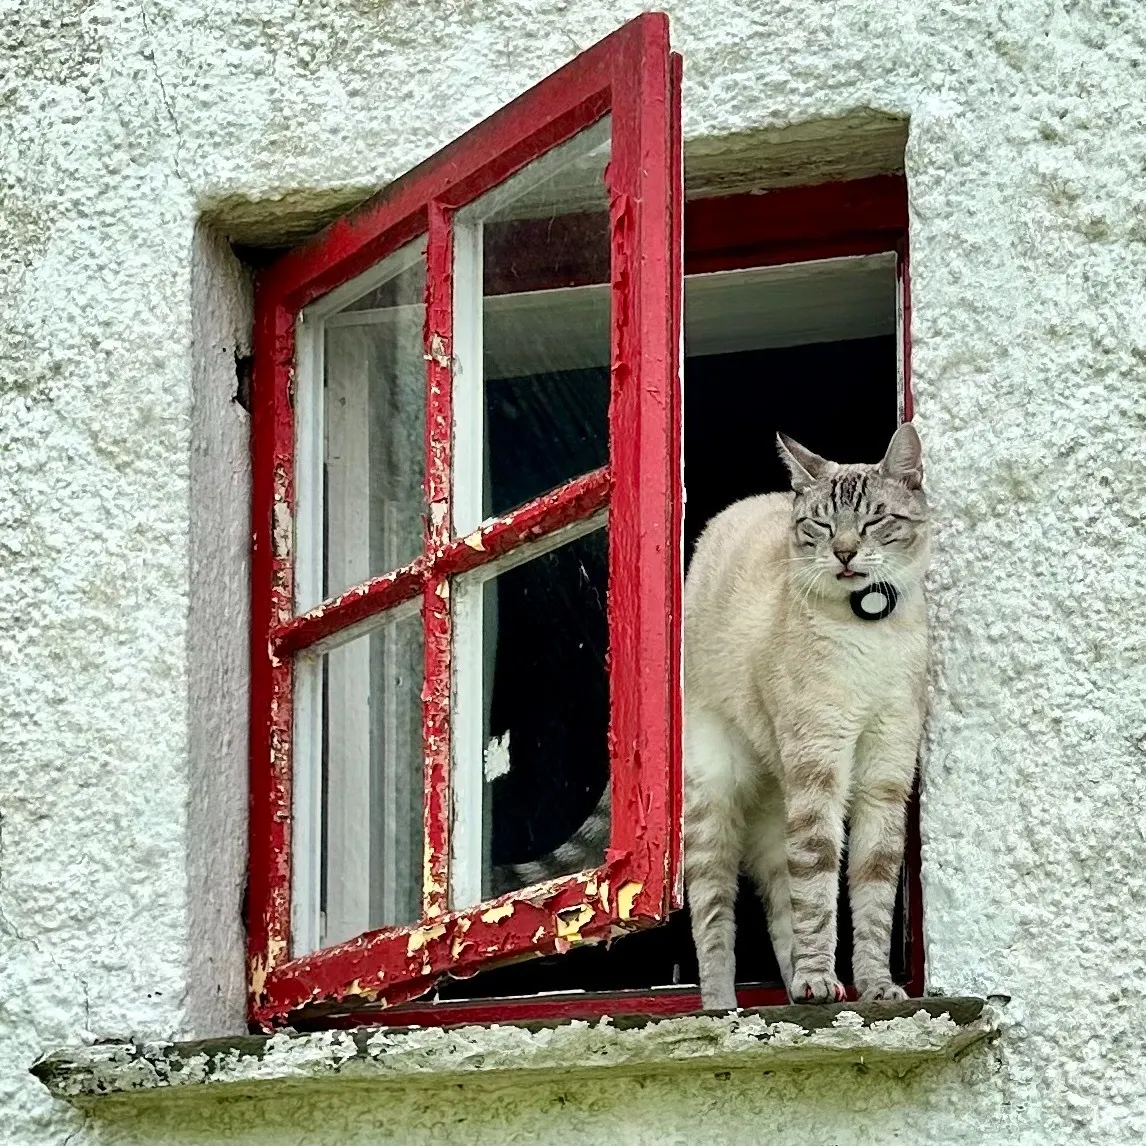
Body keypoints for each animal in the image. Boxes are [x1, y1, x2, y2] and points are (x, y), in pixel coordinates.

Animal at [497, 424, 925, 1013]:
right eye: (820, 525)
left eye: (874, 520)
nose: (843, 552)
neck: (869, 633)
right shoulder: (819, 770)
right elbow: (818, 890)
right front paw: (824, 980)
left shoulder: (884, 778)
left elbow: (872, 895)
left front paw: (878, 989)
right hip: (714, 809)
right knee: (718, 922)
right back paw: (734, 1006)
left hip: (776, 807)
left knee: (780, 906)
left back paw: (801, 989)